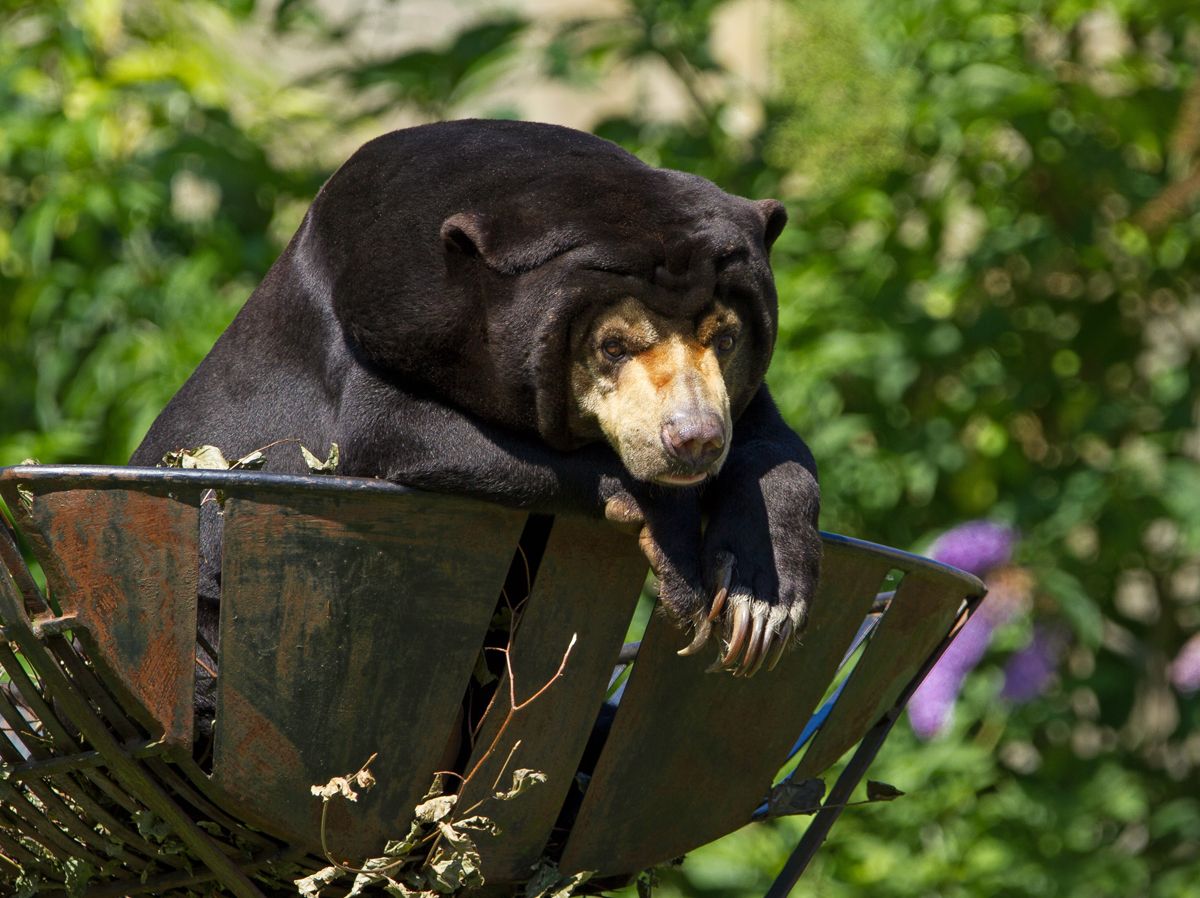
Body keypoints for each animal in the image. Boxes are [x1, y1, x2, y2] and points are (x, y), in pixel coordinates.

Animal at [131, 119, 820, 679]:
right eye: (613, 347)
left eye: (726, 338)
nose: (694, 439)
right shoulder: (375, 319)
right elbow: (396, 428)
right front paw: (676, 555)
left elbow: (774, 442)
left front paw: (762, 603)